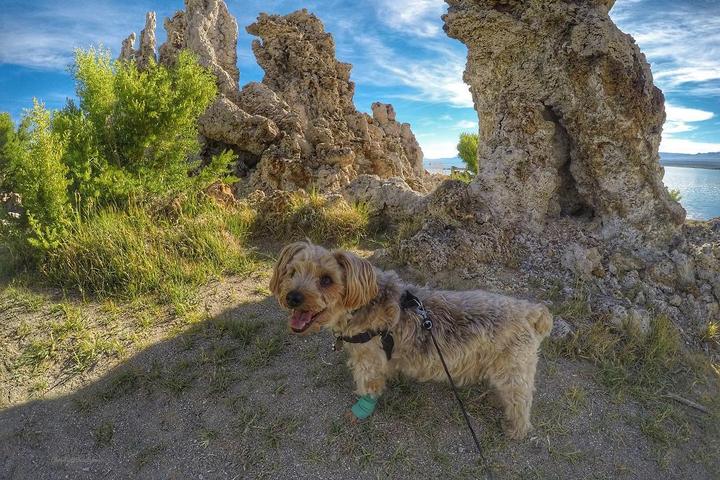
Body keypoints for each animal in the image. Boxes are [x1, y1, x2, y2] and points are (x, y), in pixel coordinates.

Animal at [268, 240, 552, 438]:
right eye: (292, 272)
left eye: (327, 280)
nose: (292, 297)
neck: (362, 304)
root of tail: (531, 311)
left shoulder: (367, 360)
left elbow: (368, 385)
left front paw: (361, 410)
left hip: (514, 367)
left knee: (520, 400)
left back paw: (516, 429)